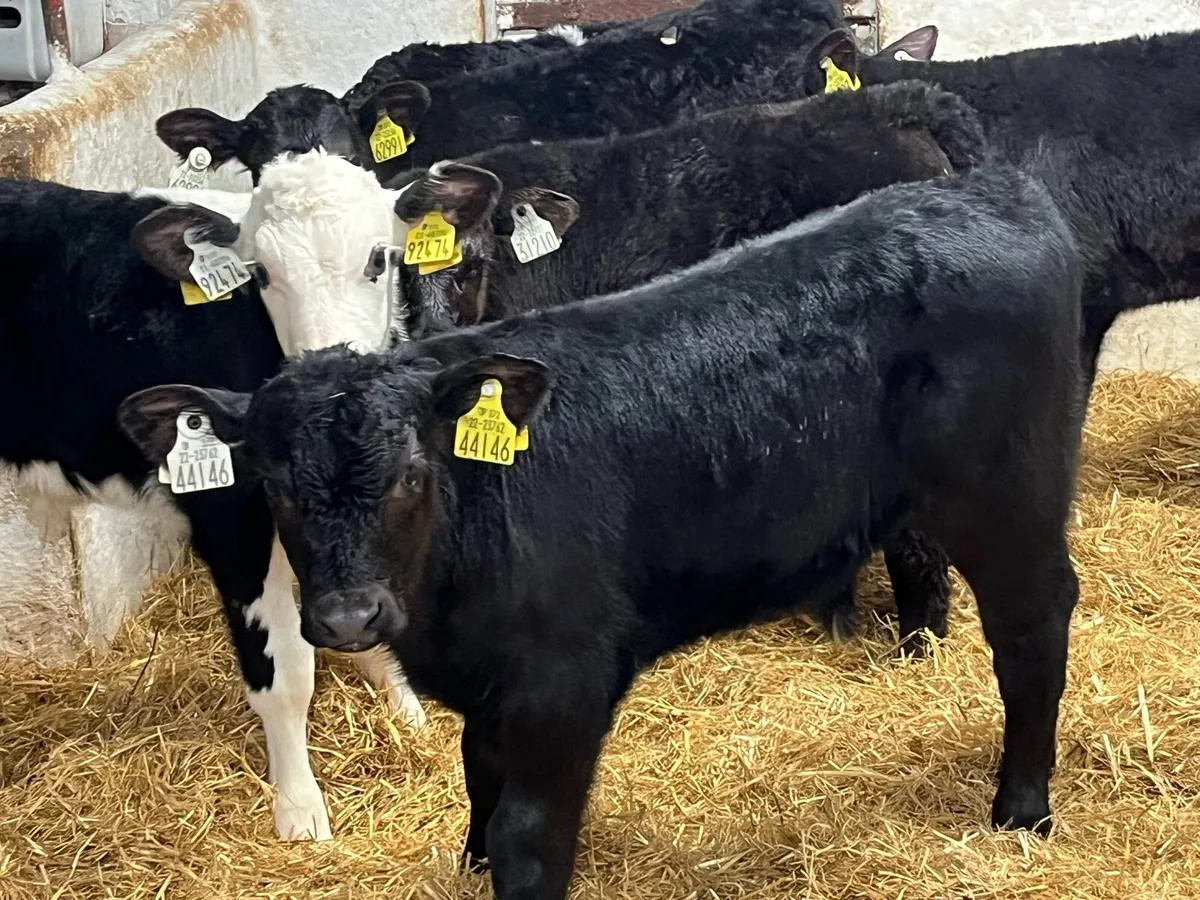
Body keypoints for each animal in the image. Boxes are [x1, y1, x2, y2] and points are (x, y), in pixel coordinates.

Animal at [0, 153, 502, 842]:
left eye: (379, 258)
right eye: (260, 274)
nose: (330, 364)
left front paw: (406, 713)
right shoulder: (230, 513)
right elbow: (286, 673)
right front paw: (300, 811)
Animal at [121, 165, 1086, 900]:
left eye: (411, 474)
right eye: (276, 487)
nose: (352, 618)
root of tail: (992, 189)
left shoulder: (564, 682)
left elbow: (528, 838)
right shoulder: (492, 692)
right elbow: (478, 785)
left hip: (1012, 499)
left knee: (1032, 631)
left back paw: (1022, 810)